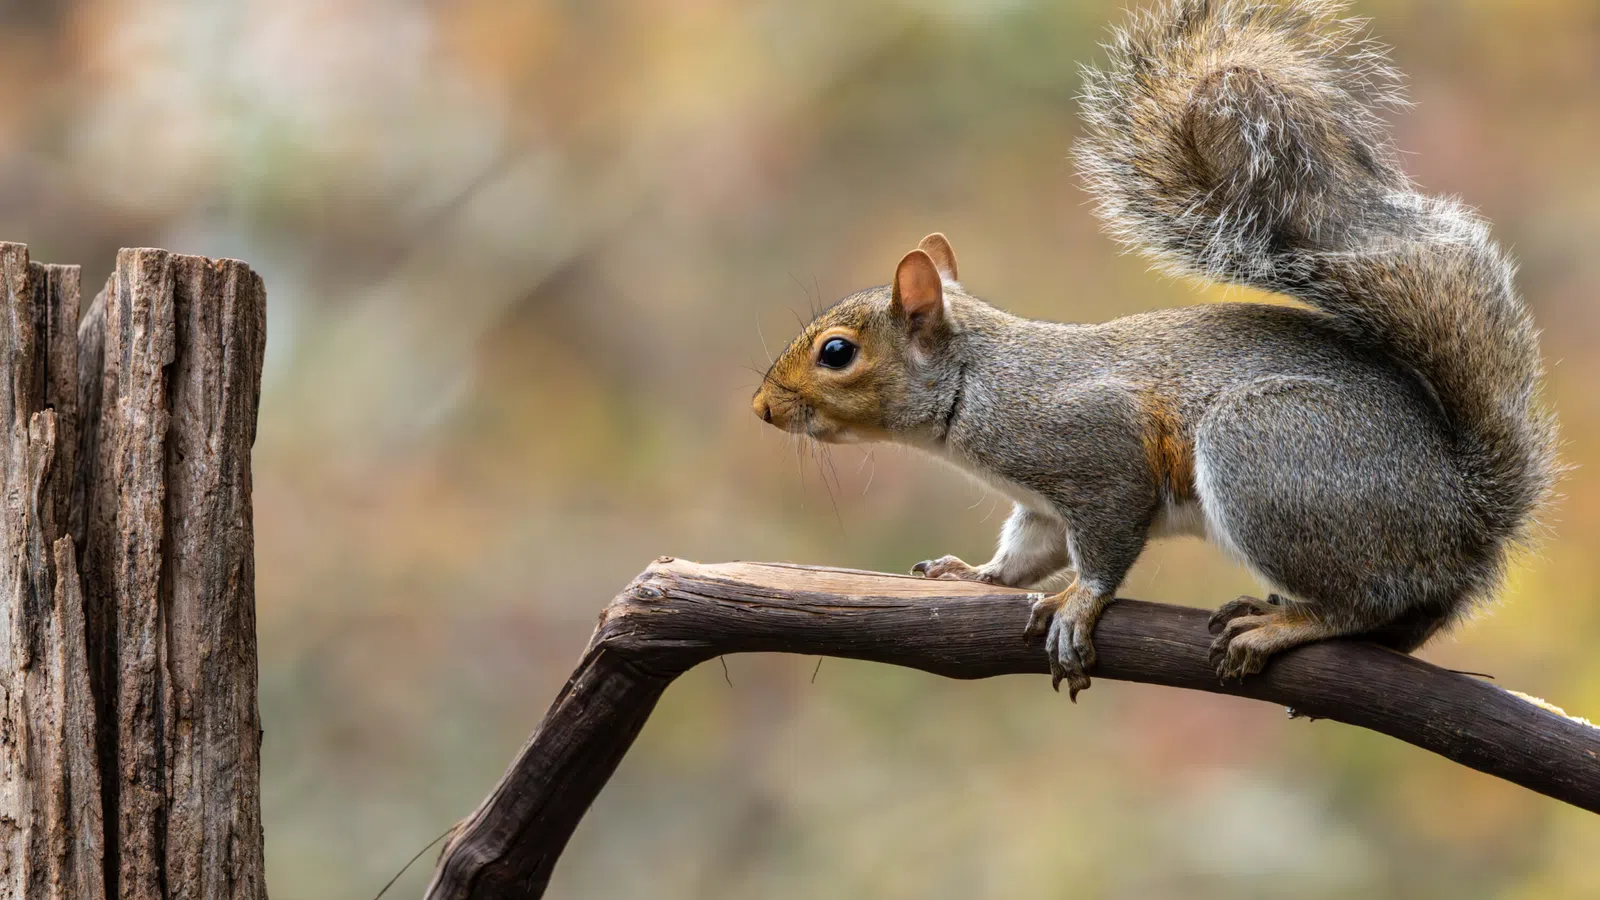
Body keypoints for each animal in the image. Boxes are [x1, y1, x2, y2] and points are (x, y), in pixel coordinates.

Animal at [750, 0, 1559, 698]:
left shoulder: (1094, 448)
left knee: (1362, 601)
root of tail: (1464, 517)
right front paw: (975, 577)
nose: (761, 408)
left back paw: (1283, 623)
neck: (975, 386)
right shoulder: (1043, 506)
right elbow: (1027, 552)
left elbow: (1105, 541)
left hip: (1267, 451)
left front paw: (1078, 605)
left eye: (836, 353)